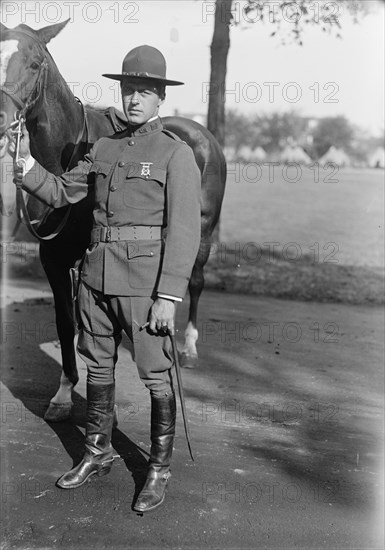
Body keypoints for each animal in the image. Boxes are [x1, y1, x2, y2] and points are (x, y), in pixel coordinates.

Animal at [0, 19, 225, 420]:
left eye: (34, 64)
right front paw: (64, 393)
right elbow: (67, 321)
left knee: (196, 282)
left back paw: (189, 347)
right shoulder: (54, 258)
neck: (65, 156)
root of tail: (201, 134)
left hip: (202, 231)